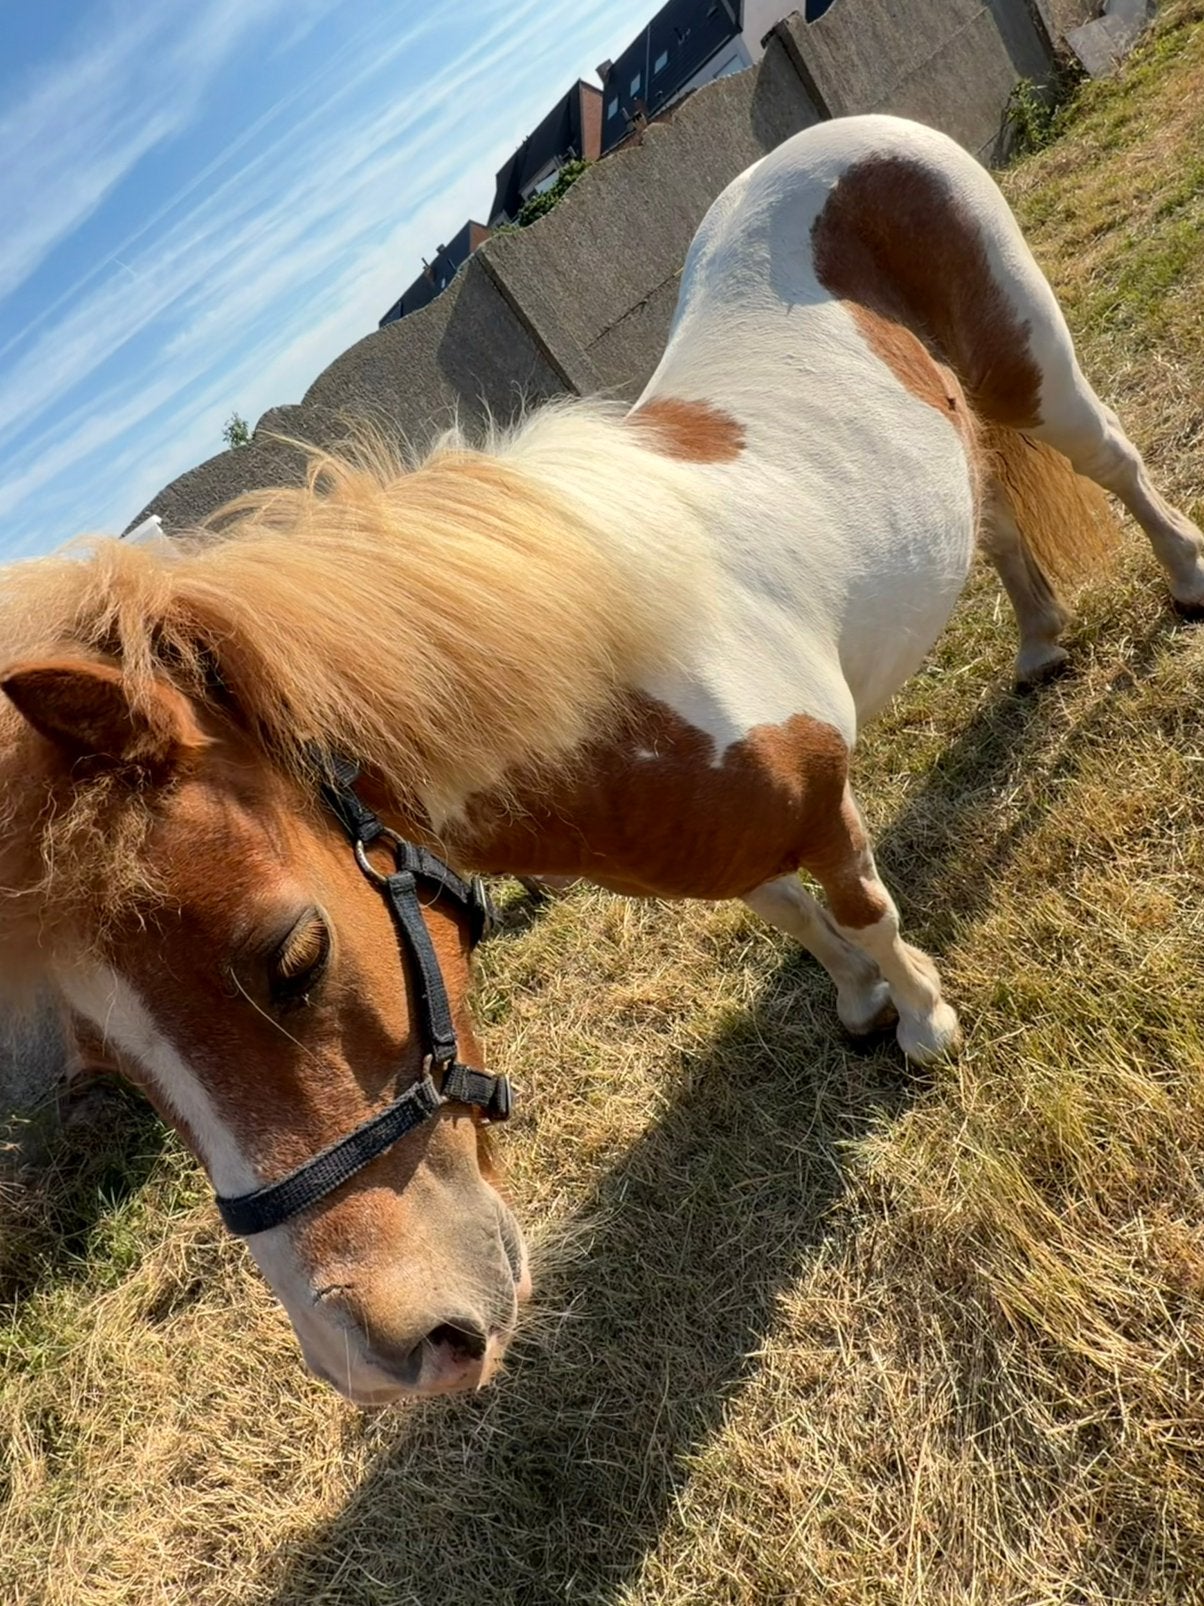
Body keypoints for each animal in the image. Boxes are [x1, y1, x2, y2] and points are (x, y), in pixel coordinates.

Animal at [2, 116, 1201, 1405]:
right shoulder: (723, 845)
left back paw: (1183, 584)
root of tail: (848, 135)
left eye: (293, 959)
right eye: (112, 1072)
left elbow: (860, 905)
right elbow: (793, 916)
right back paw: (1036, 647)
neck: (606, 661)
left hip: (1032, 373)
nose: (381, 1357)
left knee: (1115, 465)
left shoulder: (818, 799)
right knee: (988, 509)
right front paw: (858, 1005)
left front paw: (923, 1019)